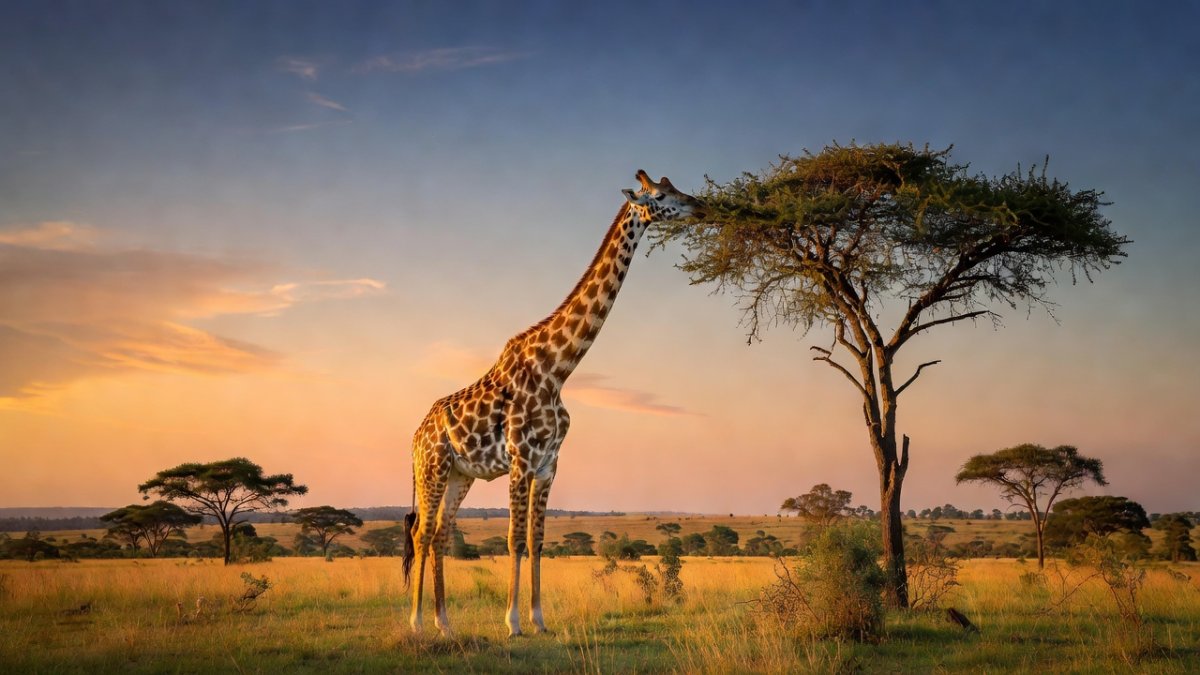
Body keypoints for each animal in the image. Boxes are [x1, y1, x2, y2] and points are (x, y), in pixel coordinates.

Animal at [402, 170, 700, 637]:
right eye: (660, 194)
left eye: (675, 188)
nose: (700, 206)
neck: (558, 369)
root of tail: (415, 436)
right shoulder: (521, 459)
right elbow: (514, 540)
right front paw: (512, 623)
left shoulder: (548, 465)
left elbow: (537, 541)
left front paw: (539, 620)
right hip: (431, 469)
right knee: (422, 533)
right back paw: (417, 622)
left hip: (459, 476)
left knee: (440, 535)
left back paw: (444, 622)